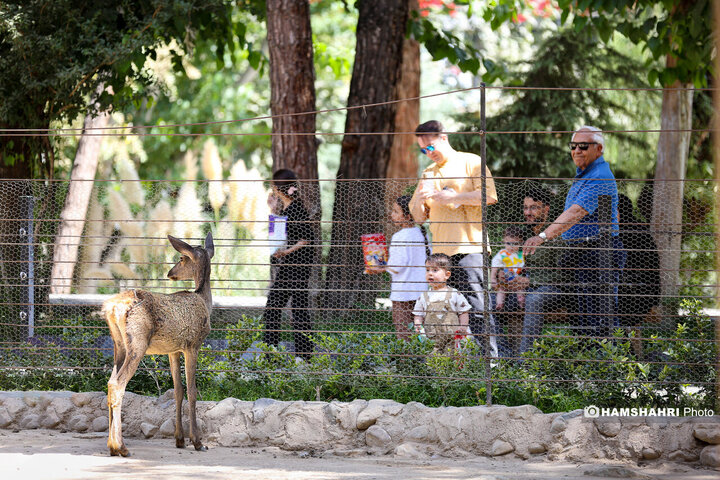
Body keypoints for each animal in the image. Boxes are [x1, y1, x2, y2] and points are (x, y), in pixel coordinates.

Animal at [102, 232, 214, 458]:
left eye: (181, 259)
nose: (170, 273)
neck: (204, 301)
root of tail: (112, 308)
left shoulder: (173, 350)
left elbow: (178, 390)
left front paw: (179, 440)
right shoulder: (193, 344)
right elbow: (192, 390)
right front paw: (198, 442)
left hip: (119, 345)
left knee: (110, 382)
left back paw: (112, 446)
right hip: (137, 342)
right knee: (118, 384)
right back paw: (121, 447)